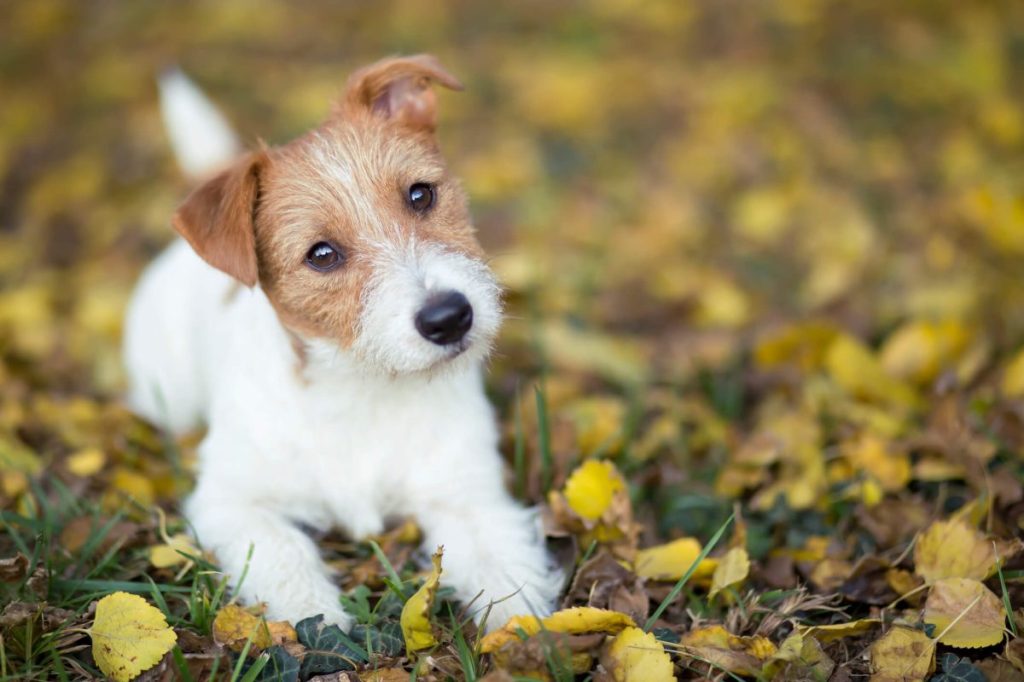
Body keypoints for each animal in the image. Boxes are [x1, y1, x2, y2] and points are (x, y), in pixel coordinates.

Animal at [125, 55, 569, 630]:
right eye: (321, 254)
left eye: (420, 194)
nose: (449, 317)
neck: (365, 386)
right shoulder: (232, 501)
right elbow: (282, 551)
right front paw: (315, 618)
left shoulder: (464, 493)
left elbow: (502, 571)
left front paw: (526, 633)